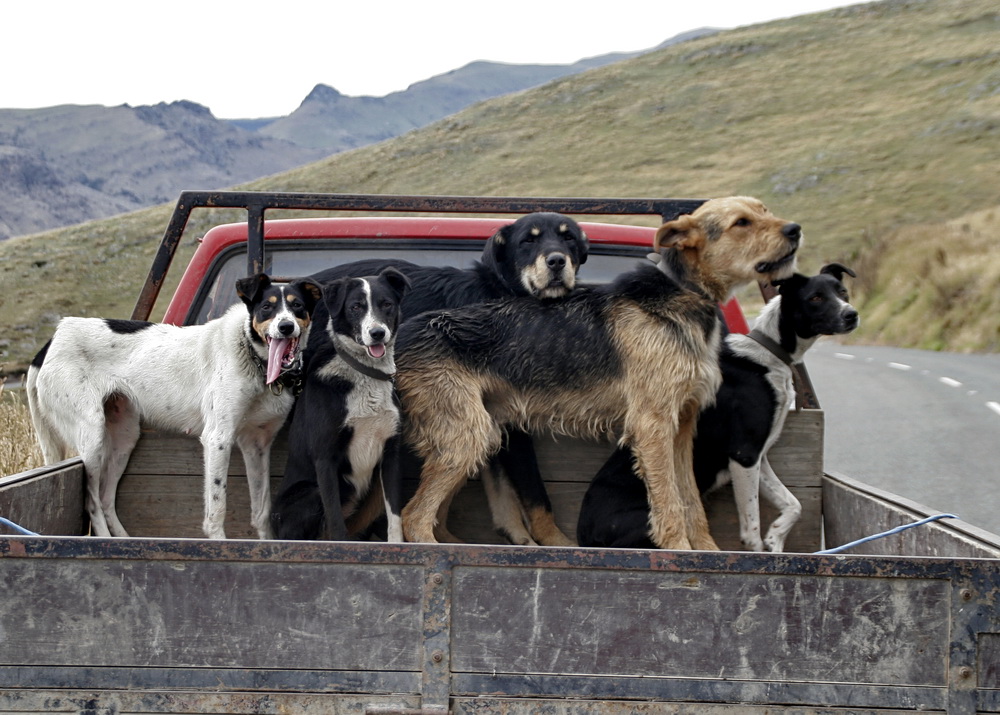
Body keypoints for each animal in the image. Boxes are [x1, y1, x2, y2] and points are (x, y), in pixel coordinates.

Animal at [270, 268, 410, 544]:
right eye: (356, 307)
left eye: (386, 304)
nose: (378, 333)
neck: (364, 372)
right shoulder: (326, 458)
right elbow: (335, 520)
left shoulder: (391, 455)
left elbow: (394, 515)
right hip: (310, 493)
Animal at [312, 213, 588, 548]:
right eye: (528, 241)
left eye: (568, 237)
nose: (557, 261)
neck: (502, 292)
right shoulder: (510, 426)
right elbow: (535, 492)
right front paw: (557, 541)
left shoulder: (494, 417)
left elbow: (499, 489)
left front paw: (518, 536)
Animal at [394, 199, 800, 552]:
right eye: (741, 223)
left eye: (765, 211)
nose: (795, 229)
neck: (682, 291)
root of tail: (397, 336)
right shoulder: (653, 424)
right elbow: (668, 500)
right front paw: (678, 551)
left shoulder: (682, 427)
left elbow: (690, 502)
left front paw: (706, 551)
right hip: (467, 434)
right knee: (414, 516)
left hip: (472, 437)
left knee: (431, 512)